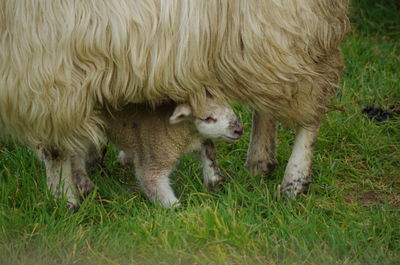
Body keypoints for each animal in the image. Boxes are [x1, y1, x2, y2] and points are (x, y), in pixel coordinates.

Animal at [0, 0, 348, 206]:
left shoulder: (45, 70)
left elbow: (54, 148)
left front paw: (65, 200)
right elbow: (70, 142)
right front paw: (81, 184)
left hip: (284, 29)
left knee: (311, 104)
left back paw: (294, 182)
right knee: (267, 101)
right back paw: (259, 162)